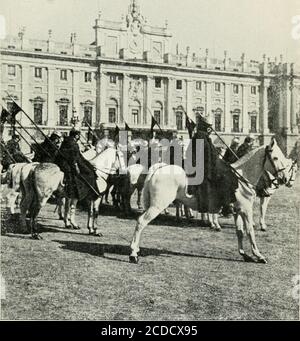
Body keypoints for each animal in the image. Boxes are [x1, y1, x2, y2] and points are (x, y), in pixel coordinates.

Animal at [129, 137, 290, 262]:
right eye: (275, 158)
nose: (284, 179)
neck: (241, 178)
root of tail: (158, 168)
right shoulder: (246, 210)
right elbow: (250, 231)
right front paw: (259, 255)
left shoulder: (237, 211)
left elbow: (240, 232)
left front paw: (245, 255)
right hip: (157, 206)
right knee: (141, 222)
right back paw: (133, 254)